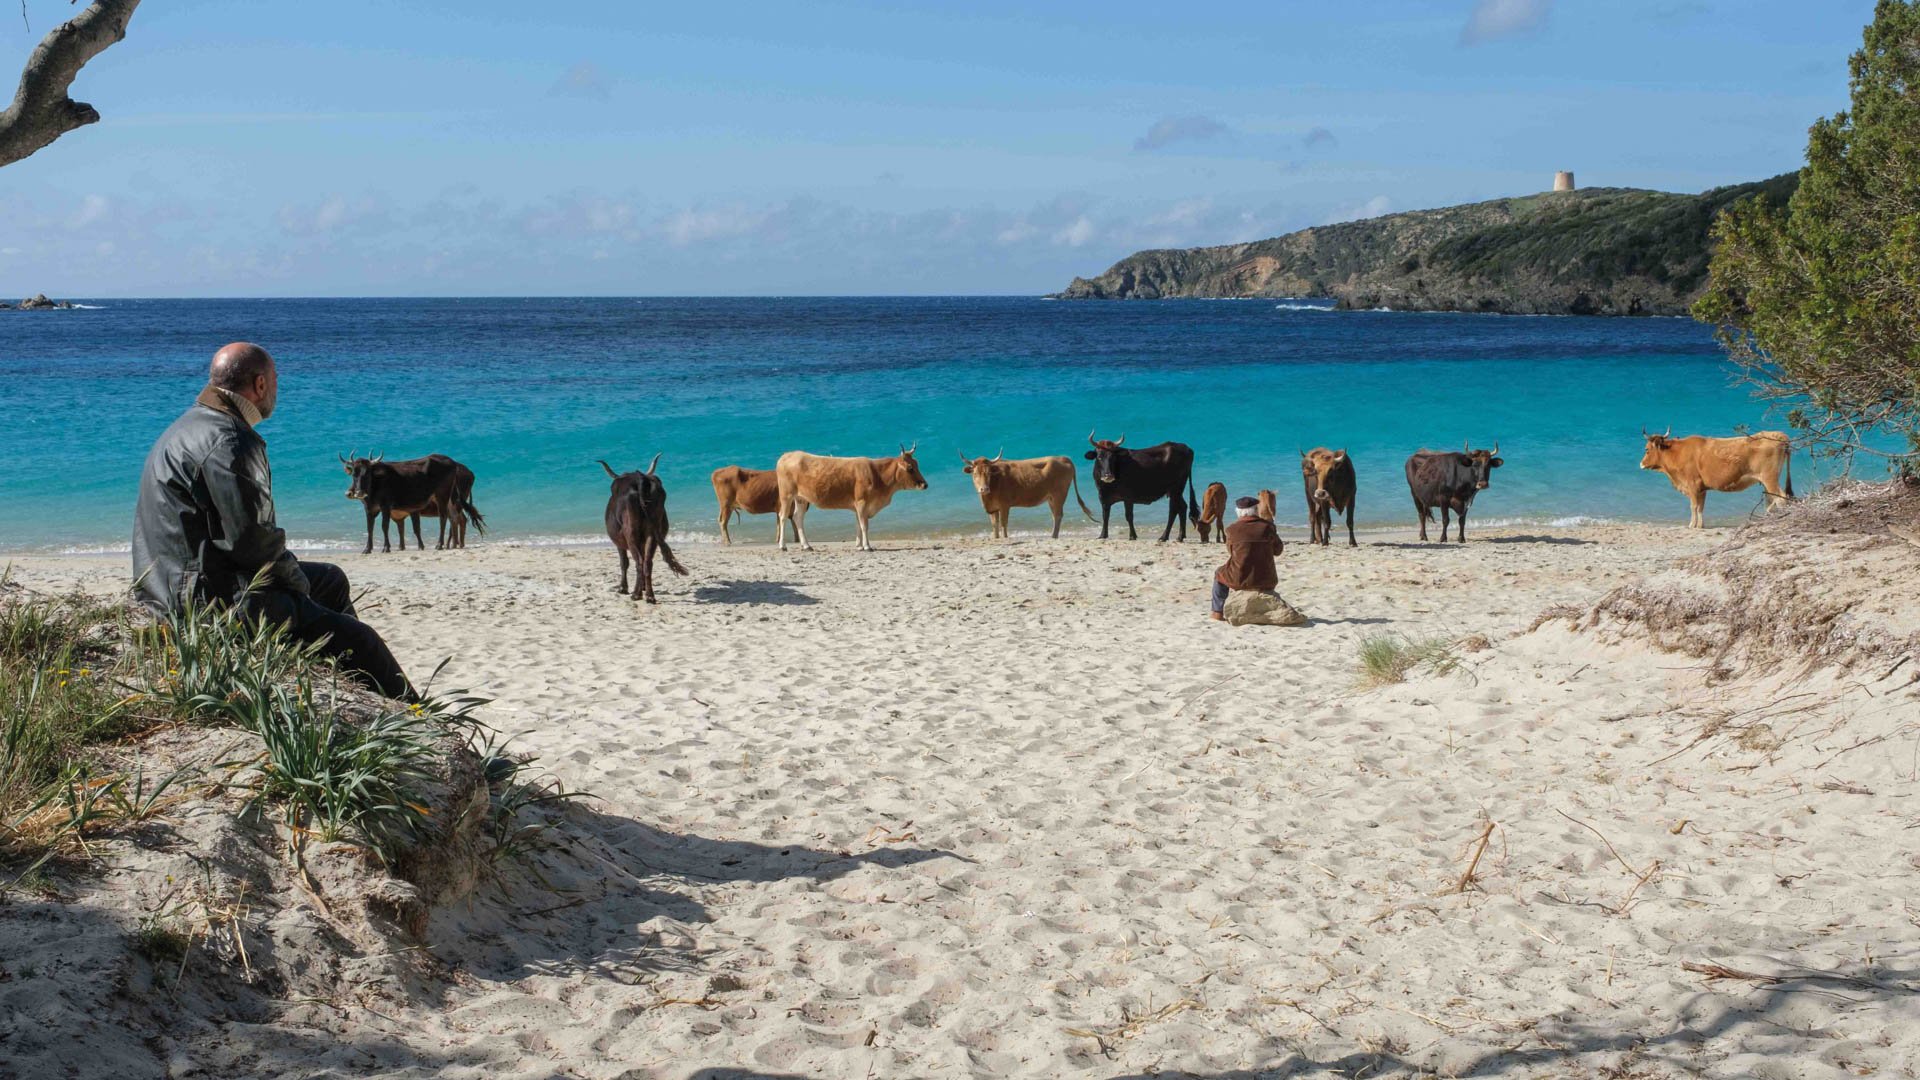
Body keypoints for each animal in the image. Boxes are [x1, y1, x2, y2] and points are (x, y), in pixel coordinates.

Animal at [341, 452, 486, 554]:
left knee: (445, 518)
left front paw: (386, 547)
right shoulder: (370, 509)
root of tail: (454, 463)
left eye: (367, 474)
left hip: (443, 497)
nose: (357, 492)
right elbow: (370, 528)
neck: (375, 485)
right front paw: (367, 549)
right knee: (457, 519)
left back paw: (440, 544)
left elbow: (385, 526)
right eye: (354, 474)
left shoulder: (386, 506)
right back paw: (454, 544)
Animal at [600, 455, 688, 603]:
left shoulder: (619, 542)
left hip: (630, 534)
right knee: (647, 562)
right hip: (653, 534)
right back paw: (649, 595)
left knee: (639, 562)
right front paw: (643, 587)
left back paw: (636, 594)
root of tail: (639, 479)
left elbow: (623, 562)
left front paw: (623, 588)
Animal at [775, 444, 929, 552]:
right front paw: (867, 546)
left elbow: (858, 525)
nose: (925, 484)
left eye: (917, 464)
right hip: (786, 495)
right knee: (783, 516)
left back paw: (806, 545)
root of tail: (788, 455)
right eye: (910, 468)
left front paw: (859, 546)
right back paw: (783, 546)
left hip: (801, 498)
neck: (878, 475)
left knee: (798, 517)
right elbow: (864, 525)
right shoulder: (862, 502)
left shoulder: (859, 506)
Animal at [958, 450, 1096, 539]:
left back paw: (1053, 536)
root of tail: (1063, 458)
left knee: (1058, 515)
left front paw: (1005, 538)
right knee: (1055, 516)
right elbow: (994, 525)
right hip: (1051, 498)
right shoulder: (993, 509)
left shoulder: (1004, 505)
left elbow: (1003, 523)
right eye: (975, 473)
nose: (984, 489)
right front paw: (996, 538)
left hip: (1059, 495)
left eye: (989, 473)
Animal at [1639, 428, 1793, 528]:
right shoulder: (1702, 488)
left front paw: (1691, 525)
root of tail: (1779, 435)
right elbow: (1701, 507)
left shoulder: (1692, 485)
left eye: (1646, 449)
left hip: (1769, 477)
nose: (1641, 464)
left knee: (1780, 498)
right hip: (1766, 480)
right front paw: (1700, 525)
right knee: (1771, 498)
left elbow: (1693, 506)